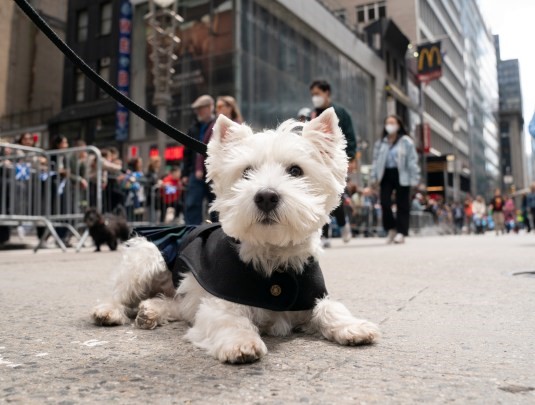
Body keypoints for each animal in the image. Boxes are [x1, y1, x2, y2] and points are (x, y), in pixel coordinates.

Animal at [92, 107, 378, 362]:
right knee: (120, 292)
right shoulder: (220, 301)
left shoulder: (309, 297)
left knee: (175, 303)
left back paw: (150, 311)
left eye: (296, 171)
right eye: (246, 171)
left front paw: (354, 326)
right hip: (145, 258)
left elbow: (330, 308)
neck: (272, 255)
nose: (266, 196)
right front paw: (241, 343)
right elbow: (229, 319)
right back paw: (108, 312)